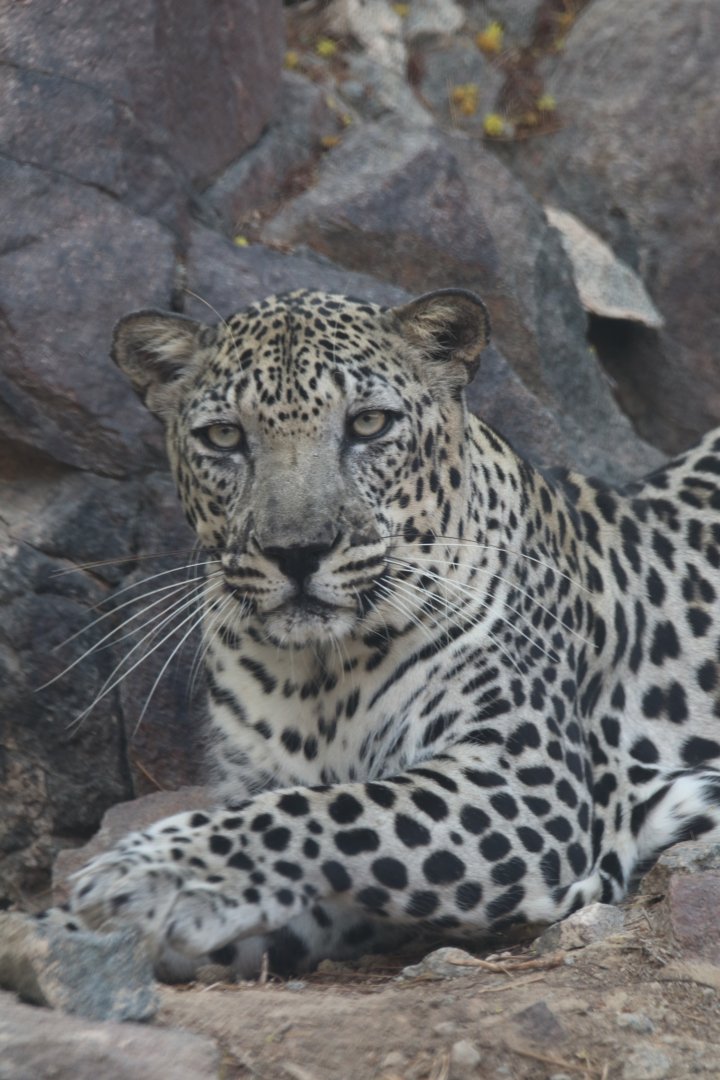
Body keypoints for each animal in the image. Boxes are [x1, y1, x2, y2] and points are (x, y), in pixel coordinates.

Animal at [64, 286, 720, 981]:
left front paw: (148, 875)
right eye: (223, 436)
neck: (317, 676)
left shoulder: (527, 787)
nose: (296, 551)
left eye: (369, 425)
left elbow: (331, 809)